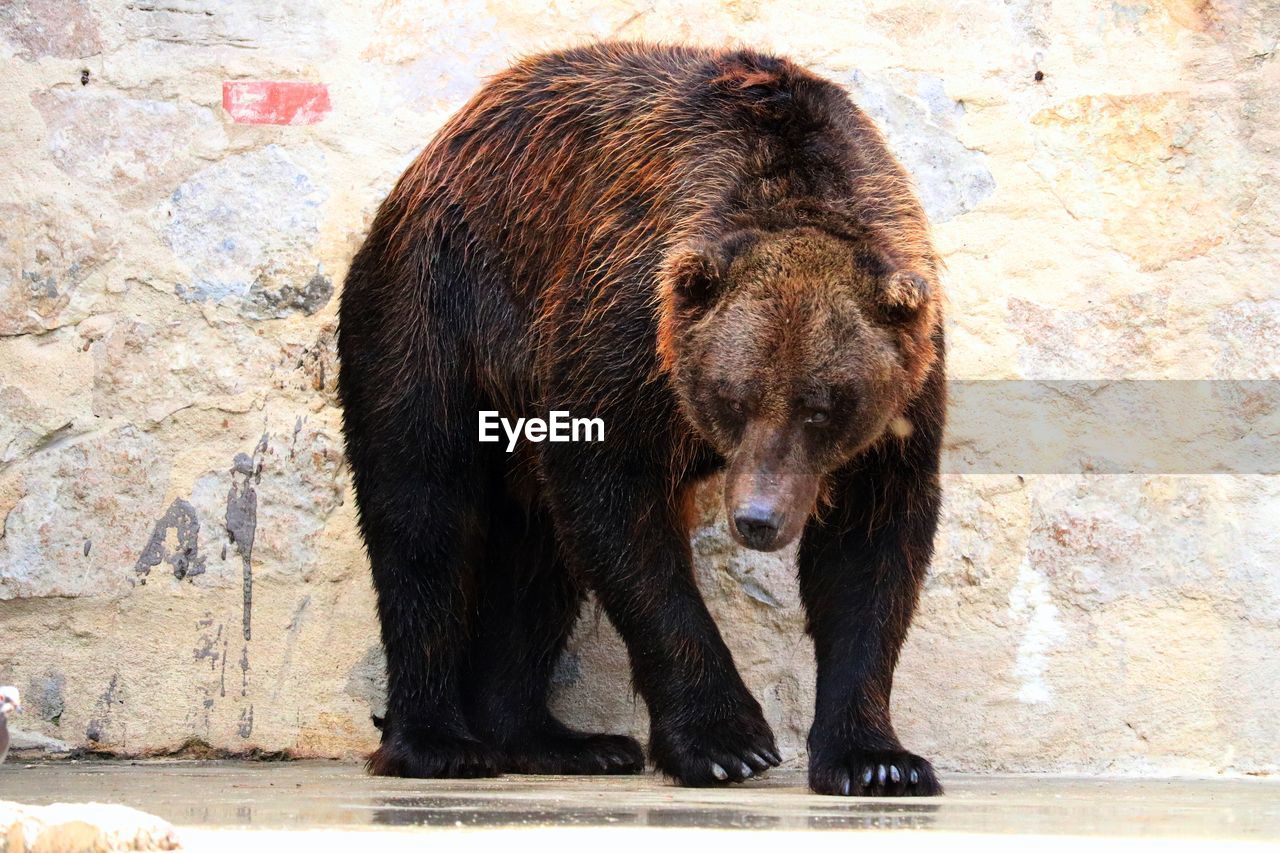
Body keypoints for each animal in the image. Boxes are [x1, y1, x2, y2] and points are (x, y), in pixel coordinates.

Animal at [335, 39, 947, 794]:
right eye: (734, 396)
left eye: (824, 406)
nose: (758, 518)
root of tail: (425, 163)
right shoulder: (625, 330)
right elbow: (618, 512)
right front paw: (726, 741)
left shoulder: (905, 399)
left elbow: (871, 551)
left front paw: (878, 760)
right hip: (436, 315)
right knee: (424, 515)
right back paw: (440, 743)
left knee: (534, 561)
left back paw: (559, 740)